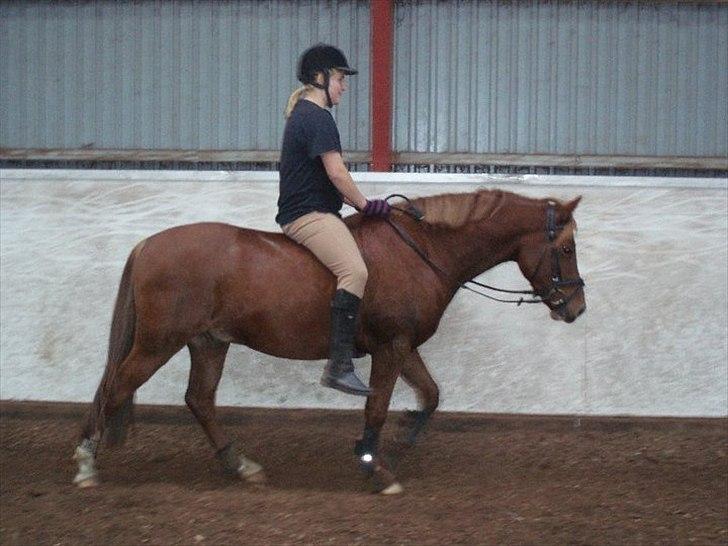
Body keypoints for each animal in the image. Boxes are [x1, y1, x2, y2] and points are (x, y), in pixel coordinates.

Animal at [72, 188, 586, 494]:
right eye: (565, 248)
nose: (576, 309)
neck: (423, 251)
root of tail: (148, 245)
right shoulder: (390, 346)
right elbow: (377, 405)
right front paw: (375, 466)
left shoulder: (402, 345)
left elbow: (430, 395)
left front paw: (396, 443)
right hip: (159, 343)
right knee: (115, 388)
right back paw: (85, 465)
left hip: (208, 341)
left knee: (199, 399)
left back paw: (241, 465)